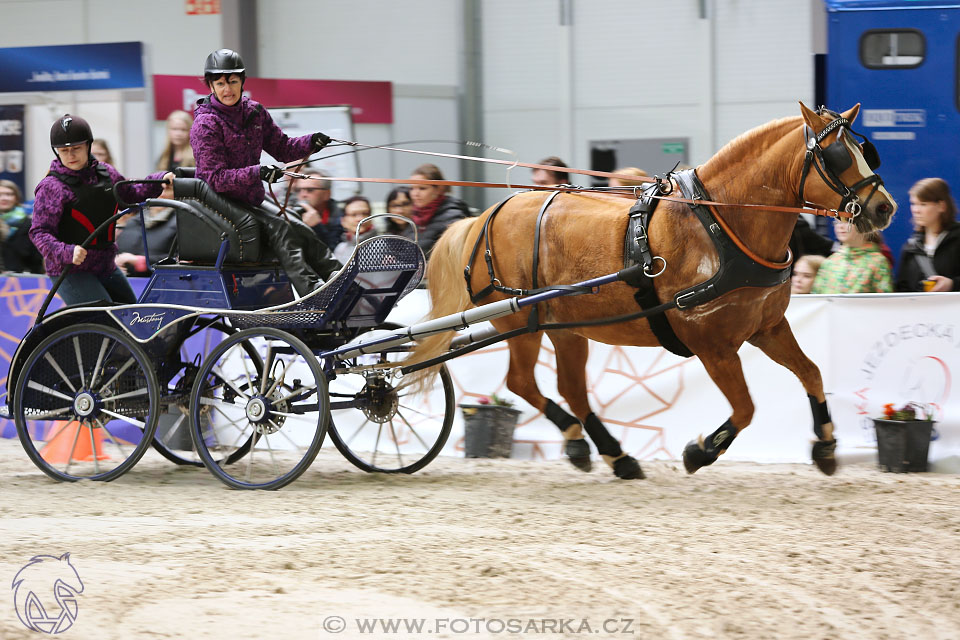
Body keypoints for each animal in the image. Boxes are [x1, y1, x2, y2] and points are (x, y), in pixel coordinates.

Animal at [408, 102, 896, 478]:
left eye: (865, 150)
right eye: (837, 156)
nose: (884, 208)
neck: (721, 223)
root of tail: (484, 216)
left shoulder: (768, 327)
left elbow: (812, 374)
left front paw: (826, 446)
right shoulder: (713, 345)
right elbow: (746, 408)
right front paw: (700, 451)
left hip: (564, 325)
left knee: (570, 388)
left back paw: (612, 454)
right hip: (518, 318)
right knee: (522, 382)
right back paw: (586, 443)